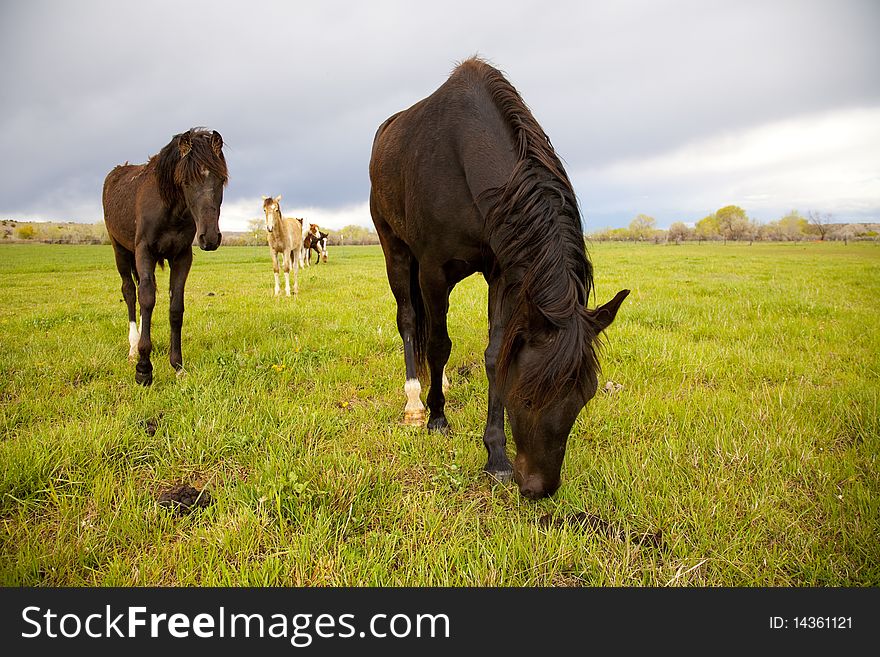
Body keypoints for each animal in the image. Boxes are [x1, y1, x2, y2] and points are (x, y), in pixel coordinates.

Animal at [103, 127, 229, 384]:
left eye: (221, 179)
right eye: (186, 181)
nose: (210, 238)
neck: (170, 211)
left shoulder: (181, 257)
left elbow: (175, 308)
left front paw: (178, 366)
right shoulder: (144, 252)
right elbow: (146, 299)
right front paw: (143, 369)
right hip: (120, 250)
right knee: (130, 292)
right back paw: (133, 348)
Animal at [368, 59, 628, 498]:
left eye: (584, 397)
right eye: (526, 398)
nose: (539, 488)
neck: (465, 152)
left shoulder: (503, 274)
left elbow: (494, 355)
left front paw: (497, 457)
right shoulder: (434, 269)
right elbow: (438, 343)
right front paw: (437, 419)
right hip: (398, 251)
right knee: (410, 322)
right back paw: (416, 402)